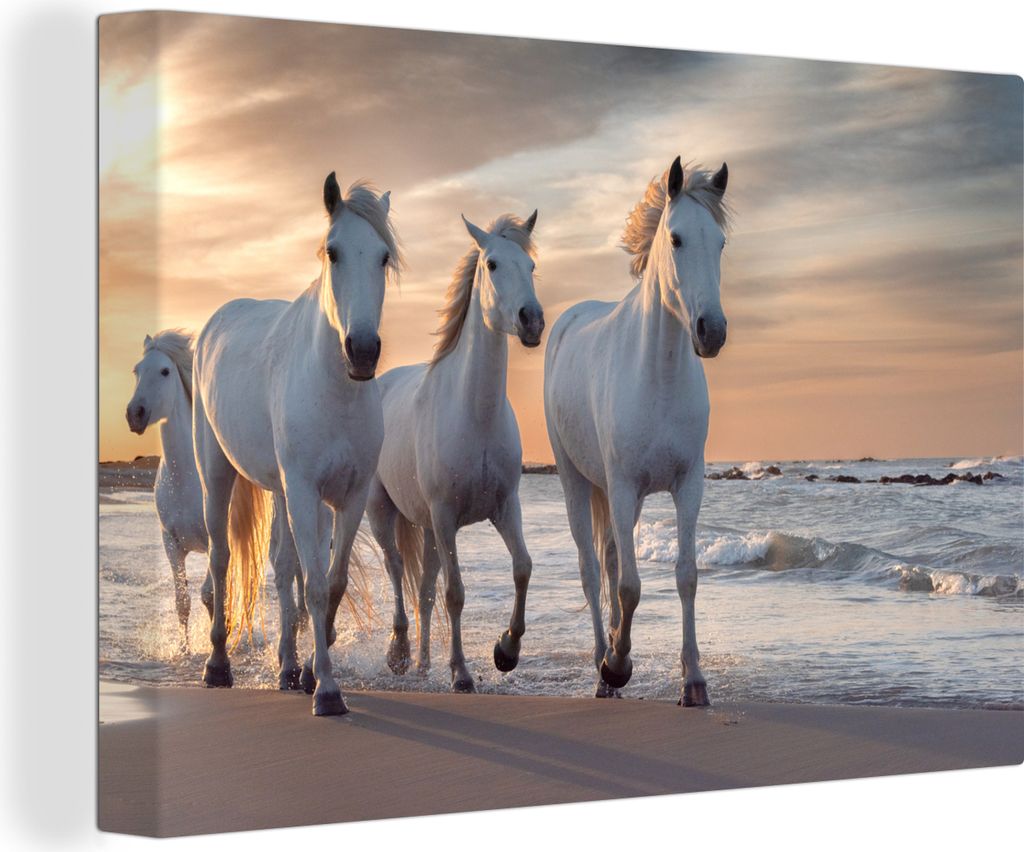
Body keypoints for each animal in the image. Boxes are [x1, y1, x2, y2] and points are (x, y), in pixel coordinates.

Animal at [125, 330, 309, 654]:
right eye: (137, 370)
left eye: (165, 371)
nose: (135, 414)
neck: (184, 479)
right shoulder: (171, 543)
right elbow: (183, 602)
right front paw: (185, 650)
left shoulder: (216, 539)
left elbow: (210, 595)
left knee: (297, 573)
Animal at [192, 173, 399, 715]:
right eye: (333, 252)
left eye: (383, 257)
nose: (363, 351)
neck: (335, 390)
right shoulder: (305, 492)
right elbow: (316, 587)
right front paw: (326, 690)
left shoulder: (347, 496)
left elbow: (329, 581)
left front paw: (309, 672)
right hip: (217, 472)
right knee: (221, 558)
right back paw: (217, 665)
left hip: (282, 491)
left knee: (283, 567)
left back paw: (286, 667)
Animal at [366, 211, 544, 692]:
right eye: (493, 264)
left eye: (531, 266)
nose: (532, 320)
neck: (474, 415)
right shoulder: (446, 517)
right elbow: (455, 593)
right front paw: (462, 672)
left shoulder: (506, 507)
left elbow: (522, 567)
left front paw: (506, 651)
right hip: (383, 512)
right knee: (396, 571)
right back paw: (399, 654)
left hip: (427, 529)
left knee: (424, 591)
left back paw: (424, 664)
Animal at [543, 156, 730, 705]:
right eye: (676, 238)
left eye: (720, 242)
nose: (712, 331)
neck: (659, 375)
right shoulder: (623, 486)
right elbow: (629, 586)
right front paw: (617, 665)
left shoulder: (687, 485)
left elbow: (686, 576)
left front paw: (694, 680)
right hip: (577, 481)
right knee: (591, 570)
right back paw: (601, 666)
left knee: (608, 560)